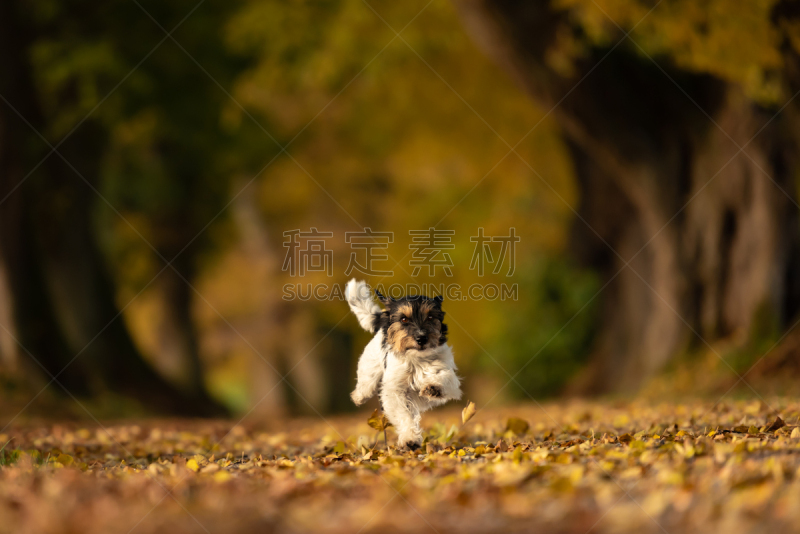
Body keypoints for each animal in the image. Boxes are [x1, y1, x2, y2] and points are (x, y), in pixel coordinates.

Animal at [344, 280, 462, 452]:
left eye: (430, 317)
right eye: (404, 319)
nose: (421, 338)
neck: (416, 359)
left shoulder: (446, 372)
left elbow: (444, 377)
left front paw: (433, 387)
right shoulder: (395, 390)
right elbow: (404, 415)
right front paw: (409, 439)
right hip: (370, 367)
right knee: (366, 384)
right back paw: (358, 397)